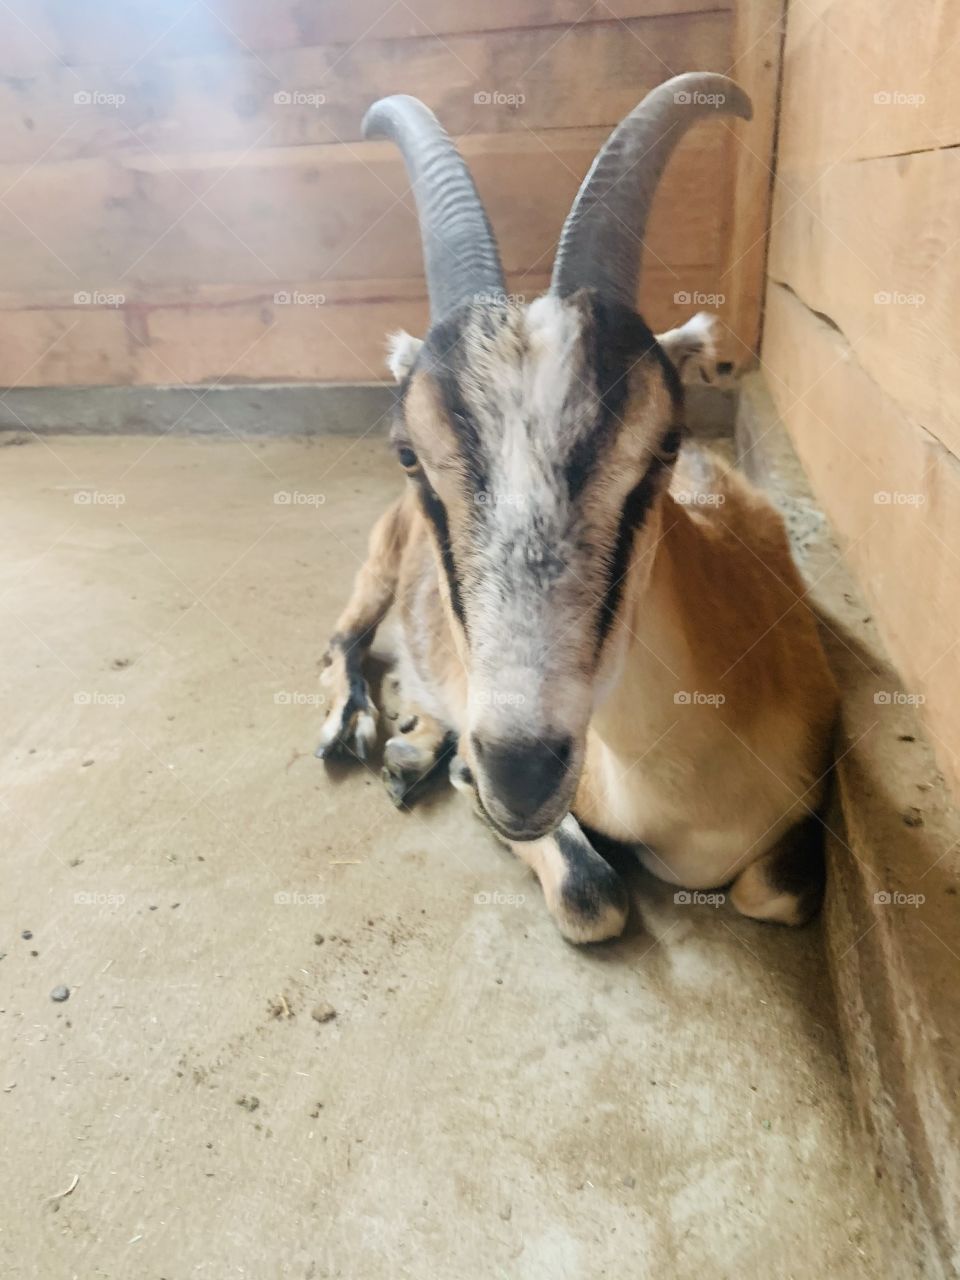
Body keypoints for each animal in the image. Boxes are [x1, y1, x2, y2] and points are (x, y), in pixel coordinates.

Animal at [316, 73, 838, 943]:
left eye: (664, 445)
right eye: (408, 452)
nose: (521, 773)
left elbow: (776, 892)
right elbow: (594, 896)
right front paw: (460, 774)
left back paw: (414, 745)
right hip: (377, 564)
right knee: (342, 638)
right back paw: (358, 730)